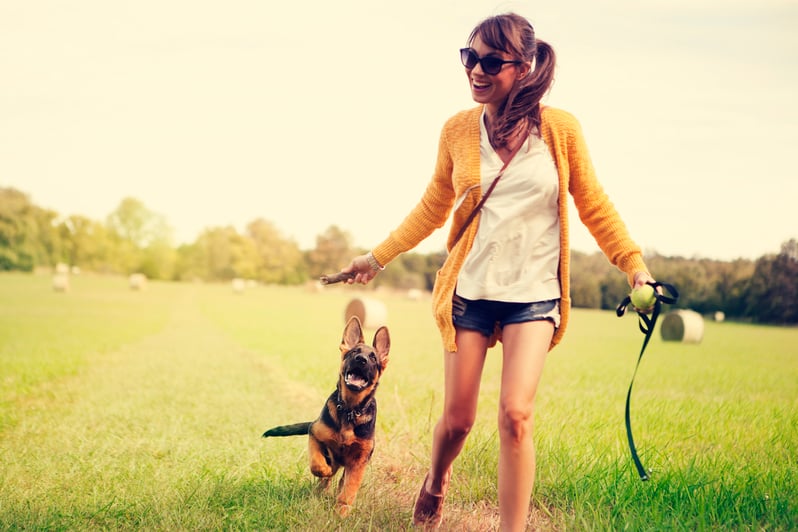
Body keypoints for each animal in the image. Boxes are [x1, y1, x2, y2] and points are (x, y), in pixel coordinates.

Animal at [262, 316, 390, 516]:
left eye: (373, 358)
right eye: (354, 352)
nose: (360, 359)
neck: (349, 410)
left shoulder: (359, 461)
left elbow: (350, 488)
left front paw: (341, 511)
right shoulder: (315, 433)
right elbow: (317, 464)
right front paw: (324, 471)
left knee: (342, 482)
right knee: (327, 476)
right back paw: (320, 489)